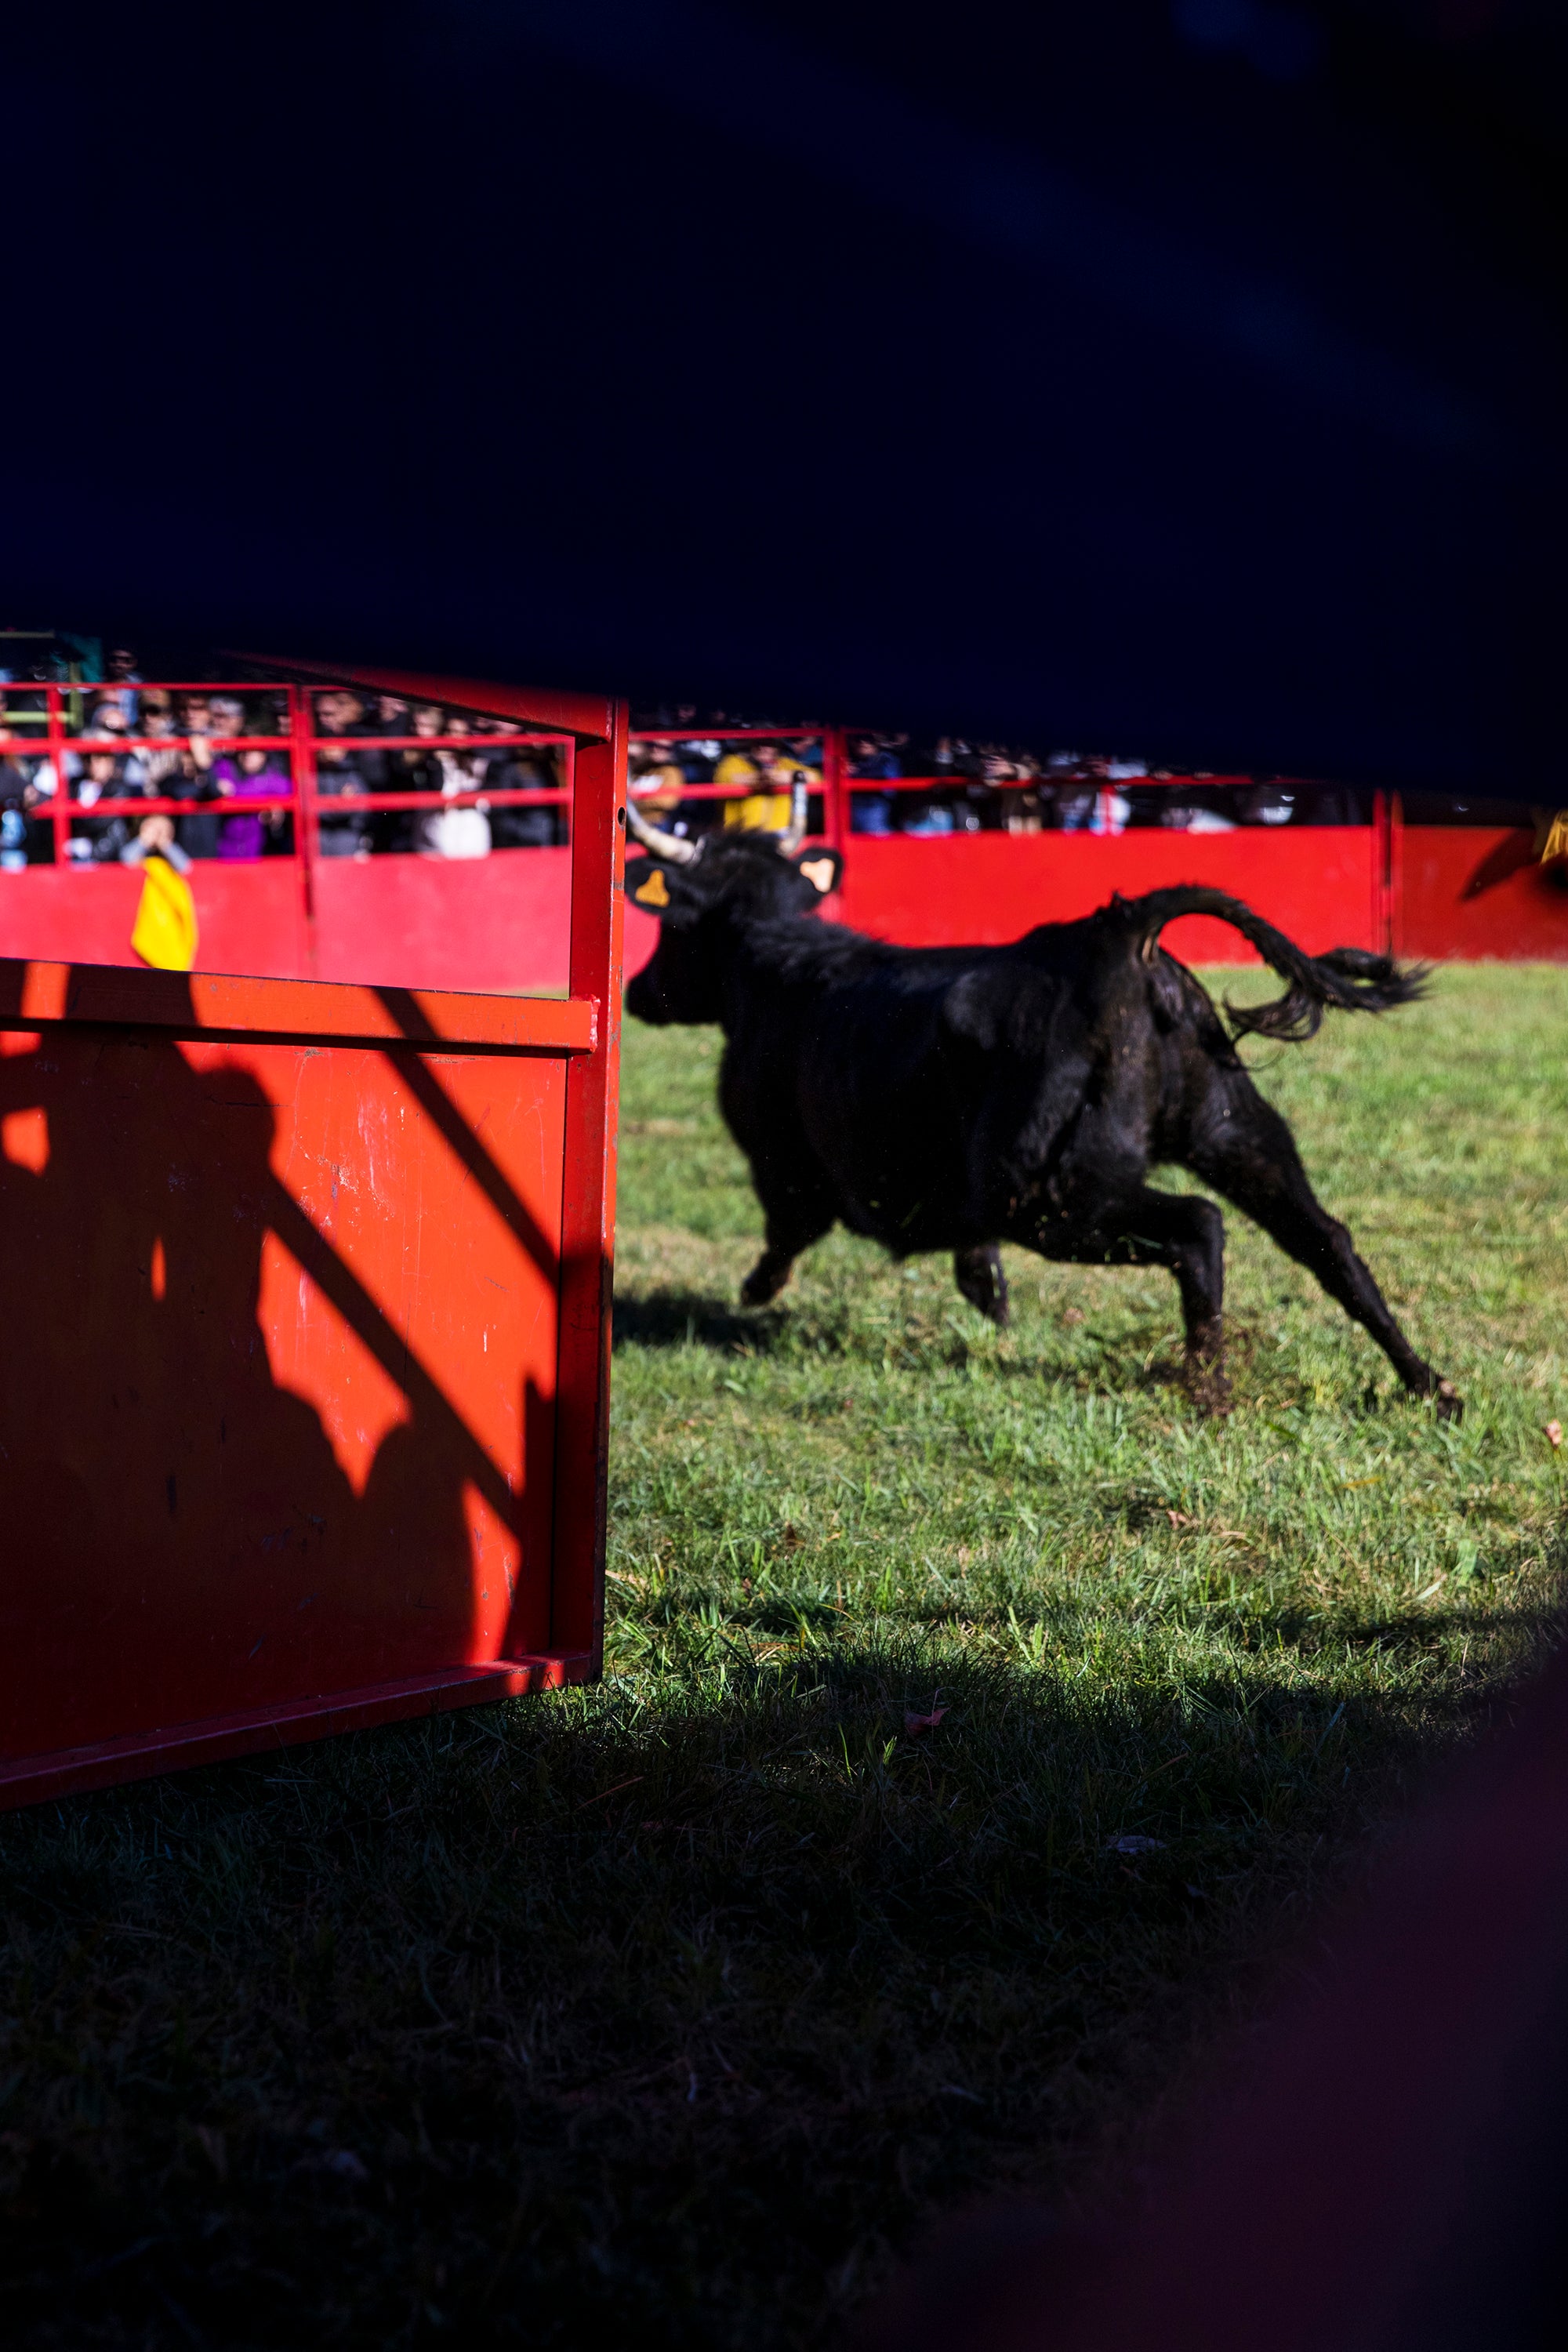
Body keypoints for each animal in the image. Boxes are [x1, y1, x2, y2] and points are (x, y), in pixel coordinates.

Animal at [620, 833, 1457, 1411]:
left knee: (1199, 1228)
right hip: (1236, 1134)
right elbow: (969, 1251)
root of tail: (1117, 934)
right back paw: (1429, 1386)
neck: (775, 969)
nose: (635, 992)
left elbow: (786, 1227)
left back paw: (1207, 1389)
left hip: (1052, 1191)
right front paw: (990, 1299)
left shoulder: (776, 1154)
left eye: (671, 930)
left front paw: (755, 1291)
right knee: (1326, 1240)